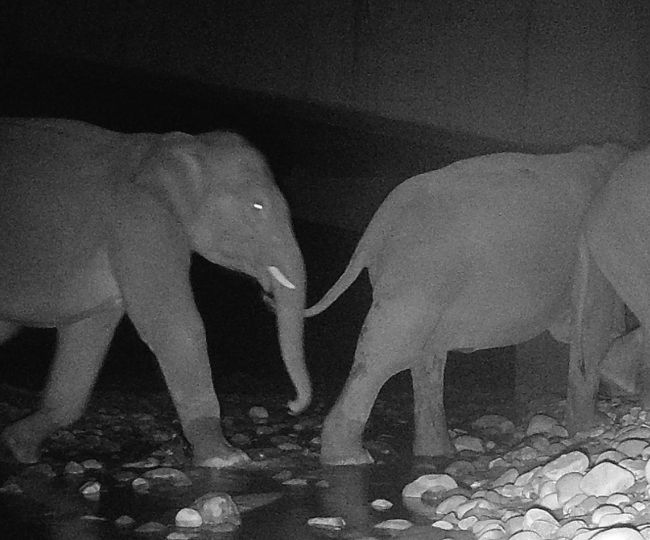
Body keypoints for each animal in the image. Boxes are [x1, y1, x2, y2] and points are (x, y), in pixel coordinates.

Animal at [0, 117, 311, 467]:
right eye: (258, 206)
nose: (292, 405)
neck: (170, 147)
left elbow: (88, 333)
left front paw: (20, 448)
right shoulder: (140, 223)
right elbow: (175, 326)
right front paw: (227, 457)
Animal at [306, 143, 628, 465]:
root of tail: (374, 229)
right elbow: (594, 331)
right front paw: (593, 426)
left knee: (425, 357)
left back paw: (438, 453)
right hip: (419, 276)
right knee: (389, 354)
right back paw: (352, 459)